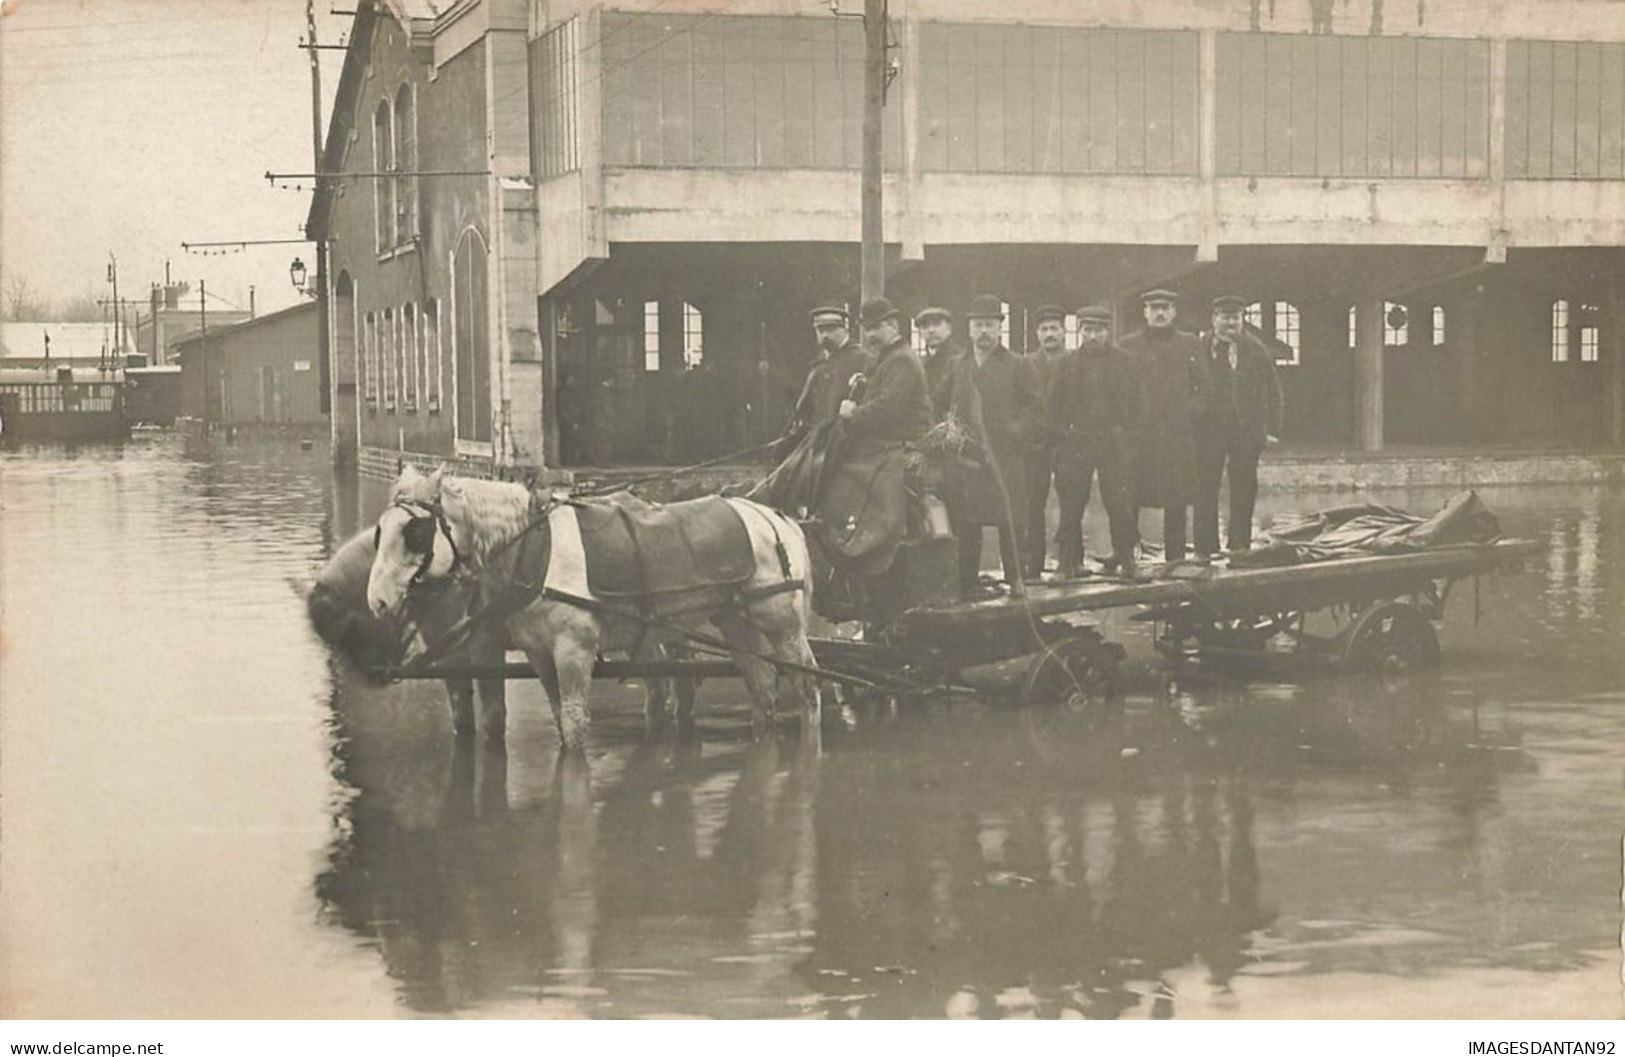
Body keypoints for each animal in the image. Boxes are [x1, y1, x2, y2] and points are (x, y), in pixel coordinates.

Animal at [370, 461, 825, 748]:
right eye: (379, 532)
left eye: (415, 533)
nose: (376, 601)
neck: (536, 548)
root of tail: (777, 517)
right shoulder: (539, 654)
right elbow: (560, 720)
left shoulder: (573, 650)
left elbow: (574, 726)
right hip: (736, 622)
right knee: (763, 686)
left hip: (783, 625)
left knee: (808, 686)